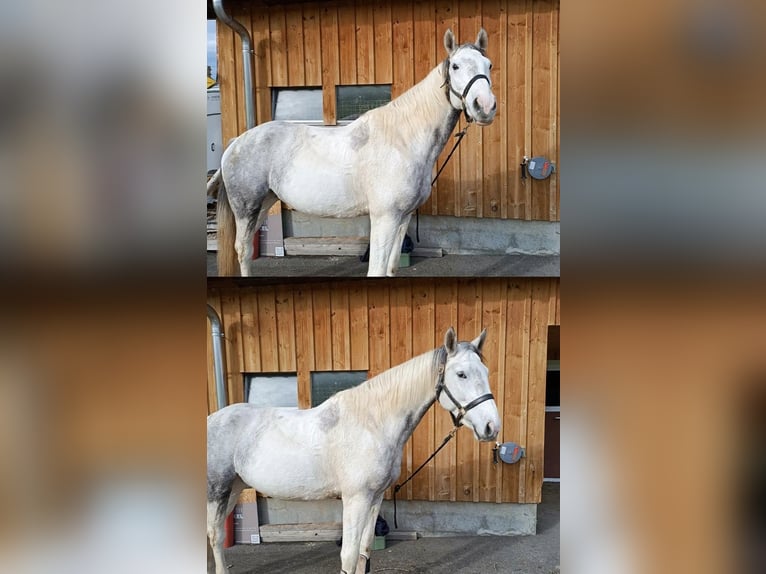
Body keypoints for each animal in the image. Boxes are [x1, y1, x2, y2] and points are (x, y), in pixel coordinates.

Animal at [207, 28, 500, 276]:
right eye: (455, 66)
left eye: (489, 65)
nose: (484, 106)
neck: (402, 140)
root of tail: (236, 141)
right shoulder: (384, 218)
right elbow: (376, 270)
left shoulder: (402, 218)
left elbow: (390, 269)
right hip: (246, 208)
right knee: (243, 250)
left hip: (265, 202)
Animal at [207, 328, 500, 574]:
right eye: (461, 374)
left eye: (486, 371)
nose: (491, 427)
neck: (371, 424)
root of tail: (213, 418)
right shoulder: (355, 499)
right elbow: (348, 555)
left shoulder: (375, 497)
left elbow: (364, 550)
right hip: (218, 490)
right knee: (215, 534)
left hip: (235, 487)